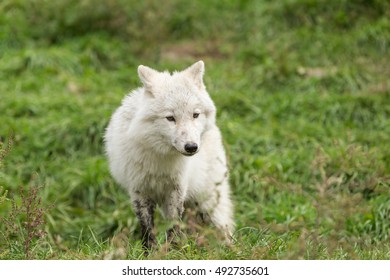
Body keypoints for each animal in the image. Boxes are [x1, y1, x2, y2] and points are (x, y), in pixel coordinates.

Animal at [104, 61, 235, 249]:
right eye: (170, 118)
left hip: (207, 203)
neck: (160, 158)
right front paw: (150, 252)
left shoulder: (177, 189)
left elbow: (174, 224)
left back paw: (231, 249)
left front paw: (174, 249)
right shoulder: (139, 190)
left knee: (225, 229)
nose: (191, 147)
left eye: (195, 115)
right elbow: (147, 228)